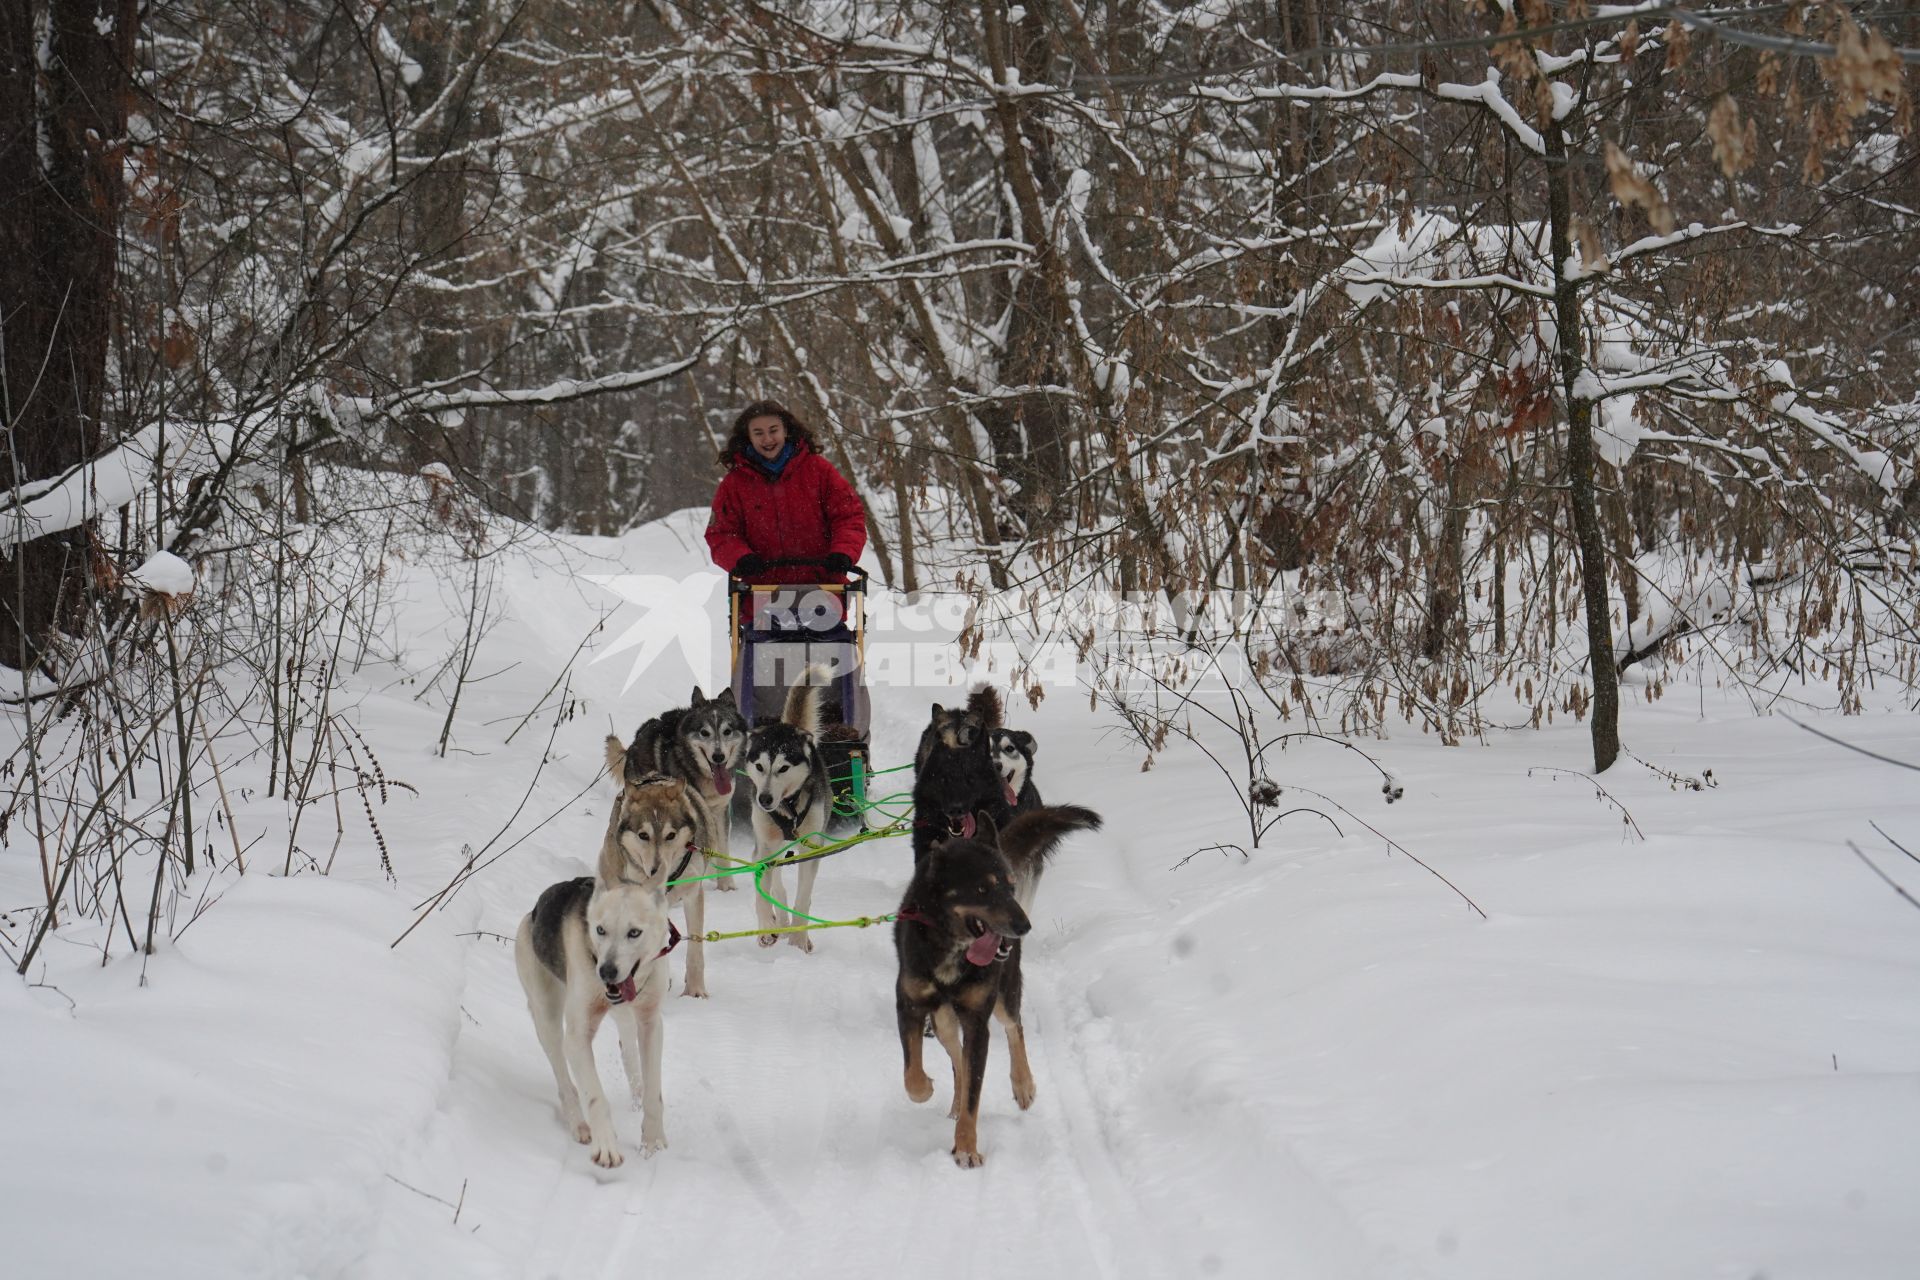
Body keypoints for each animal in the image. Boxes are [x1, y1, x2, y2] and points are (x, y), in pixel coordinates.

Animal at [518, 875, 675, 1166]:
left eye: (634, 932)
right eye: (600, 930)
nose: (606, 971)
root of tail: (533, 912)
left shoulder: (650, 1024)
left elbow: (653, 1092)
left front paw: (652, 1140)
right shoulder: (577, 1038)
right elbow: (595, 1097)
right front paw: (606, 1145)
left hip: (626, 1017)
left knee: (628, 1047)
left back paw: (635, 1092)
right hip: (548, 1019)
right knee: (565, 1082)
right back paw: (579, 1124)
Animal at [599, 759, 714, 997]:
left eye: (671, 835)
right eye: (643, 835)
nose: (655, 871)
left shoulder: (693, 895)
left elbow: (695, 948)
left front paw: (695, 992)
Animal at [737, 671, 837, 951]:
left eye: (783, 768)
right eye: (759, 766)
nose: (764, 798)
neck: (787, 806)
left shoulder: (810, 848)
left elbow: (803, 898)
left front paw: (799, 940)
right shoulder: (764, 848)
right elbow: (763, 893)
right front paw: (766, 928)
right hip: (771, 844)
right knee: (775, 884)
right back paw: (777, 920)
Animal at [890, 809, 1105, 1174]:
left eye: (1010, 885)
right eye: (982, 889)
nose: (1024, 927)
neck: (953, 949)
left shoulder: (978, 1021)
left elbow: (973, 1096)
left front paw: (966, 1149)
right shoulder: (910, 1006)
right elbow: (912, 1074)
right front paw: (927, 1089)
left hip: (1003, 997)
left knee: (1013, 1027)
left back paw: (1023, 1084)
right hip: (944, 1023)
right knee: (958, 1061)